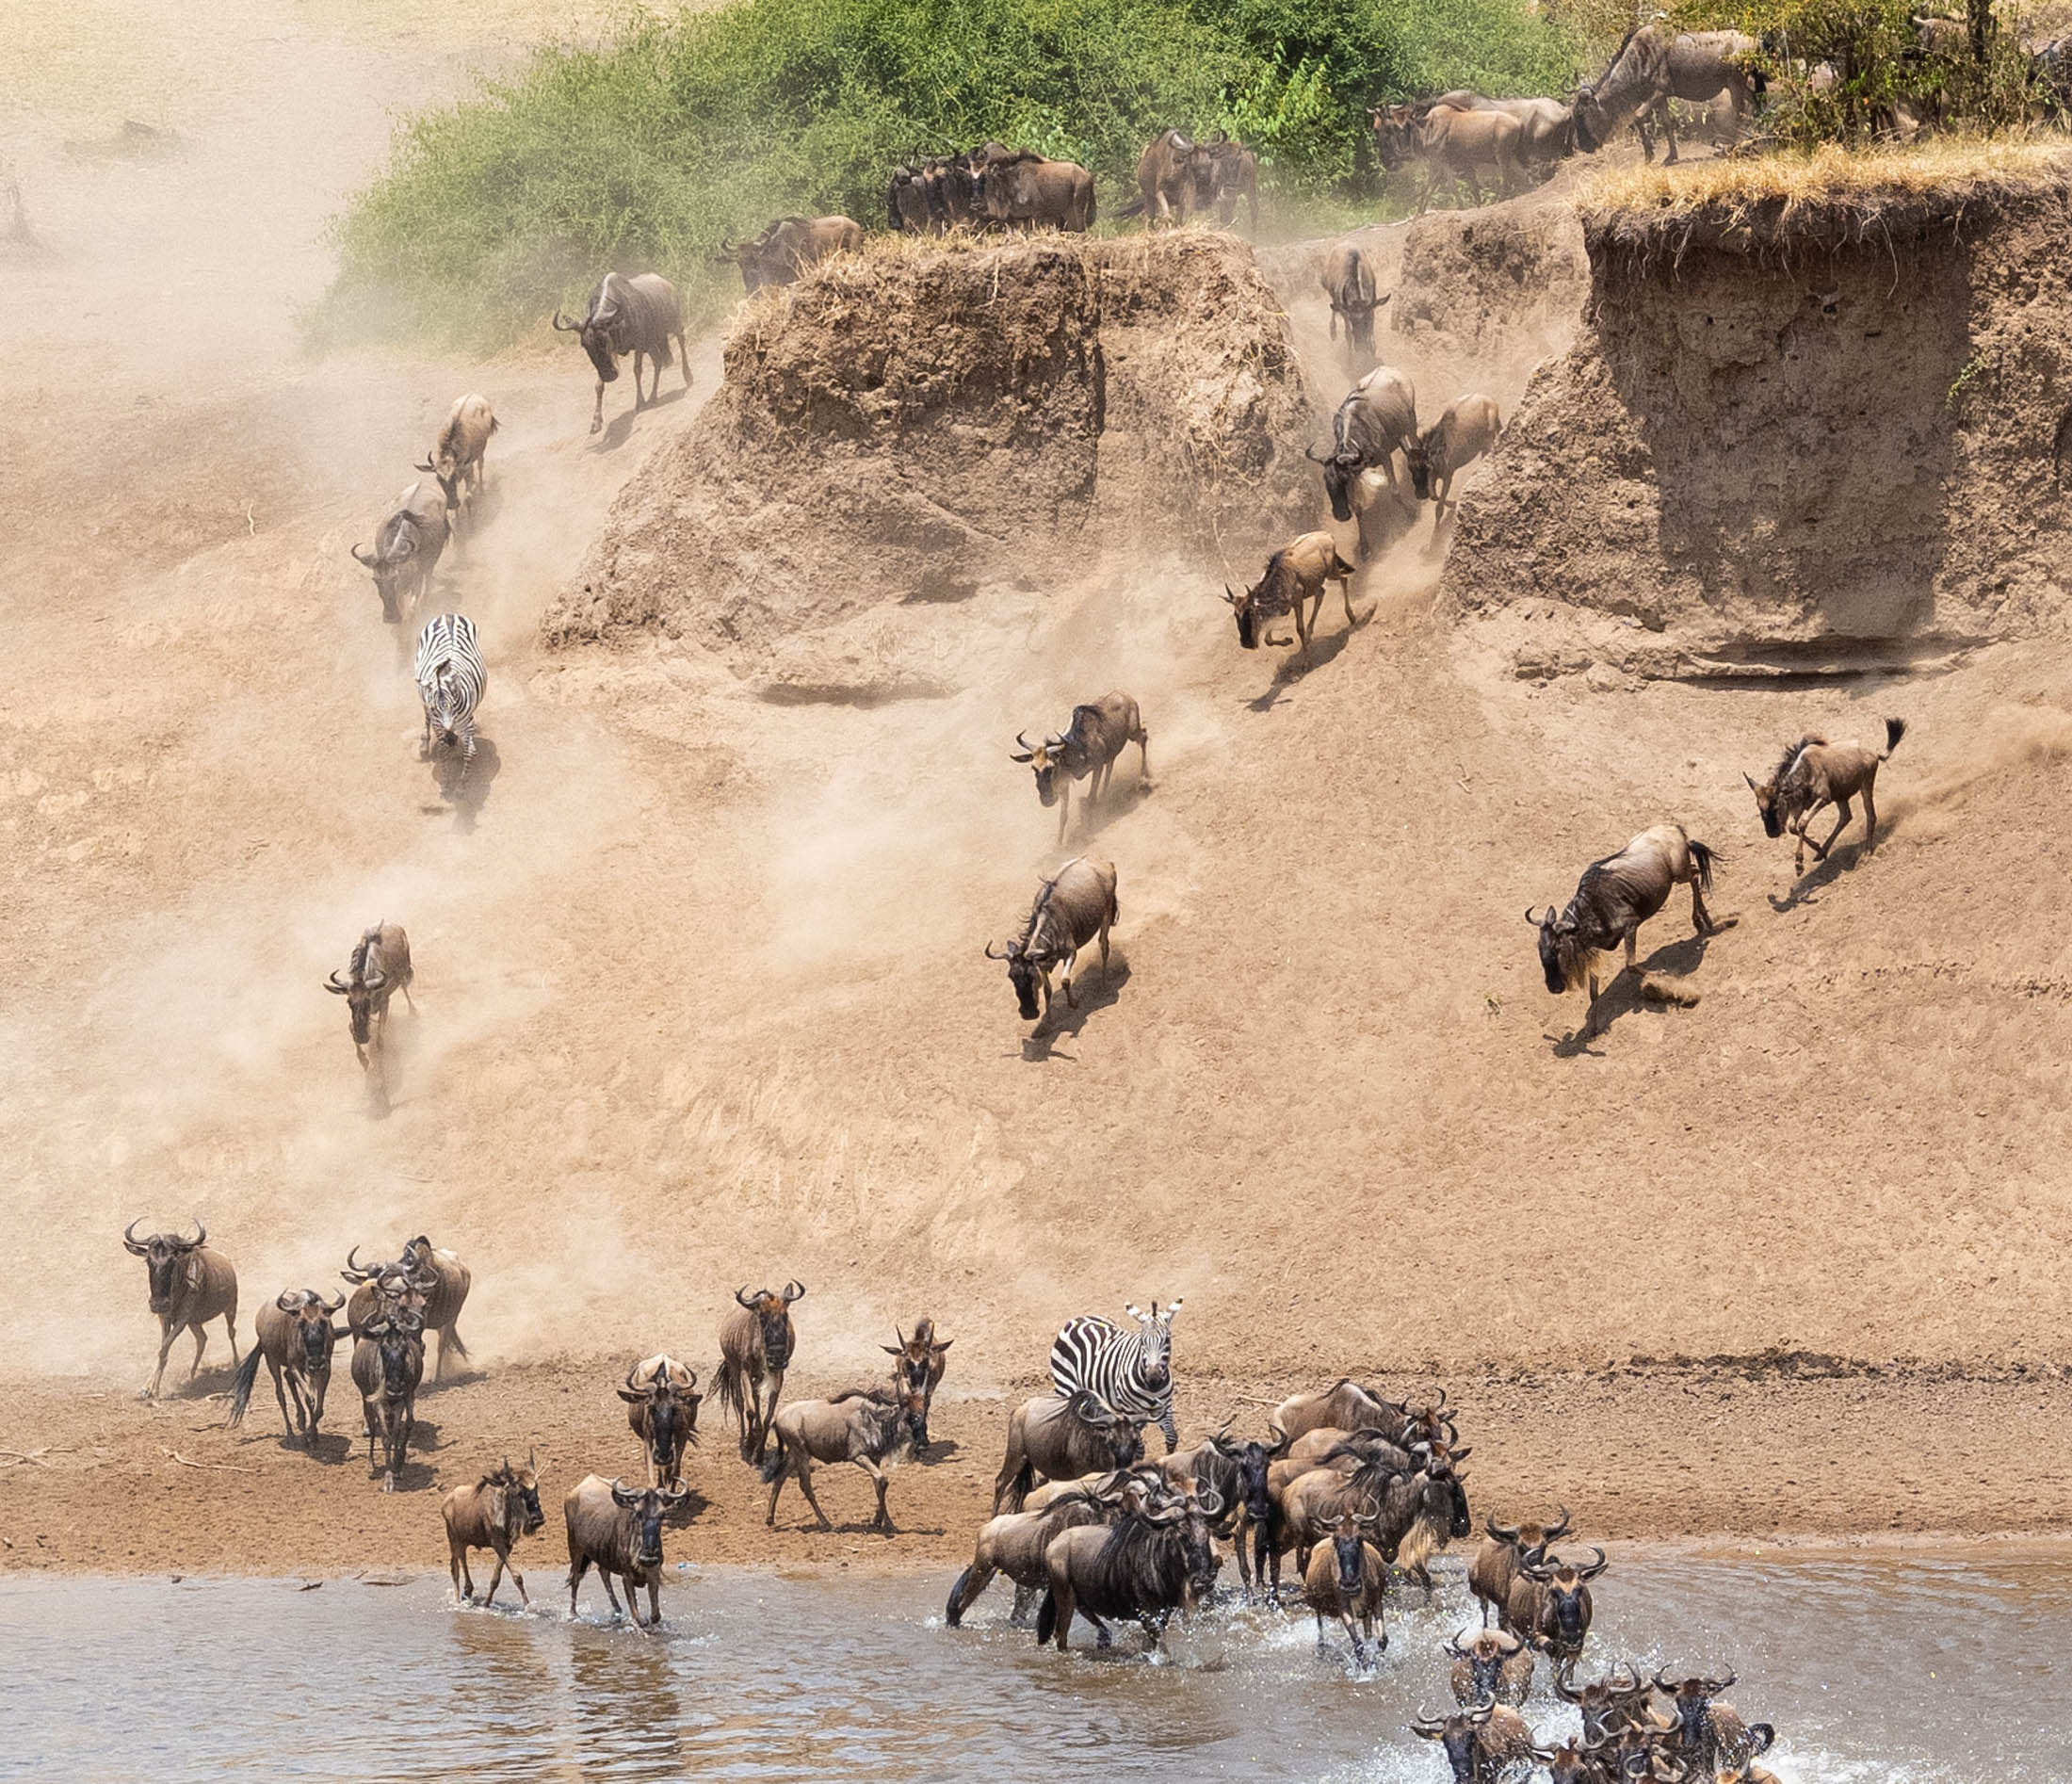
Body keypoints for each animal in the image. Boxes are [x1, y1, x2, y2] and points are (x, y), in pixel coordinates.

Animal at [416, 613, 489, 770]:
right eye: (434, 708)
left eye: (454, 705)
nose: (449, 734)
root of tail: (447, 615)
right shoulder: (437, 721)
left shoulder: (464, 718)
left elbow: (467, 746)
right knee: (425, 714)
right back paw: (425, 742)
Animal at [1052, 1301, 1185, 1458]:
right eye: (1142, 1341)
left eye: (1167, 1340)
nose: (1153, 1380)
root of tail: (1075, 1320)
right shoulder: (1130, 1412)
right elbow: (1139, 1450)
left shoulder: (1165, 1405)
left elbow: (1171, 1438)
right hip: (1065, 1386)